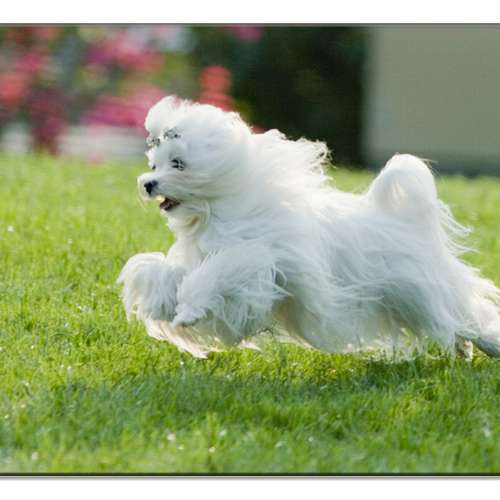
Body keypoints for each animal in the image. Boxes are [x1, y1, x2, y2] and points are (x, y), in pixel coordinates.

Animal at [118, 95, 500, 360]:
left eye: (178, 164)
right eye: (154, 163)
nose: (148, 183)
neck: (223, 207)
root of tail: (405, 221)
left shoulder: (257, 258)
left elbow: (218, 273)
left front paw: (188, 310)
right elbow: (165, 273)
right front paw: (160, 296)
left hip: (419, 290)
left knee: (467, 313)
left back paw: (487, 343)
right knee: (454, 323)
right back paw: (463, 348)